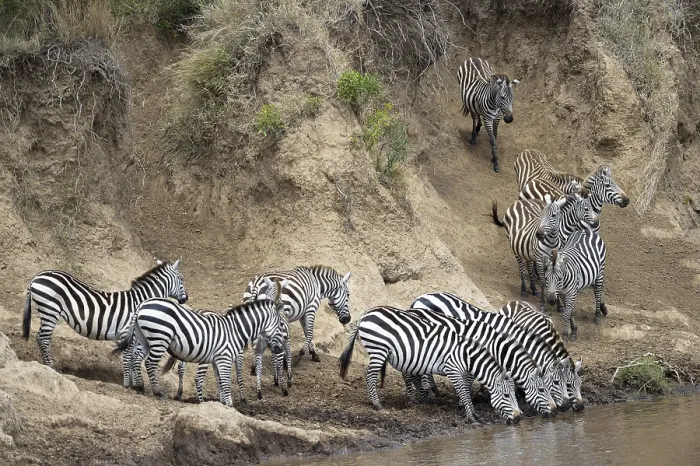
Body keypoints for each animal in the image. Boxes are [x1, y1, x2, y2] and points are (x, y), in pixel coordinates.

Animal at [22, 258, 188, 371]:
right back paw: (51, 366)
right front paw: (130, 383)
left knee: (41, 337)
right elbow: (129, 356)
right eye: (182, 279)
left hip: (48, 311)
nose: (185, 299)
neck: (140, 301)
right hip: (50, 310)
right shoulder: (128, 333)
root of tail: (37, 276)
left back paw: (47, 364)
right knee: (43, 338)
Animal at [113, 293, 287, 406]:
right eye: (280, 325)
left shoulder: (217, 360)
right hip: (160, 337)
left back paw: (139, 387)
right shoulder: (224, 358)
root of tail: (142, 304)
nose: (279, 349)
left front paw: (222, 404)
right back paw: (157, 391)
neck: (234, 329)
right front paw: (229, 404)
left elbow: (220, 382)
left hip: (144, 338)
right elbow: (226, 382)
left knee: (136, 358)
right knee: (149, 363)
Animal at [338, 306, 522, 424]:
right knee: (369, 374)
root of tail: (365, 313)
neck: (467, 356)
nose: (519, 417)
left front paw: (474, 413)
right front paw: (471, 417)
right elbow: (463, 392)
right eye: (506, 396)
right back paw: (377, 404)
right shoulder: (453, 369)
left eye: (513, 394)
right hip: (378, 348)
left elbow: (466, 391)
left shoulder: (462, 372)